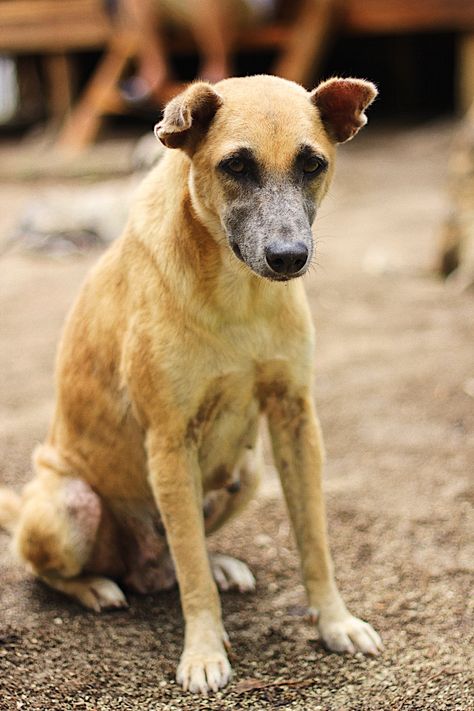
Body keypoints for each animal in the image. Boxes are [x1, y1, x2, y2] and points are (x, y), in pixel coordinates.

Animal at [0, 75, 382, 692]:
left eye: (312, 164)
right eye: (236, 165)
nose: (289, 257)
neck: (238, 295)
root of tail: (142, 569)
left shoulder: (296, 420)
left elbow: (314, 542)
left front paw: (335, 622)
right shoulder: (169, 440)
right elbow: (192, 574)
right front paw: (203, 651)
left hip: (249, 471)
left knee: (193, 548)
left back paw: (219, 565)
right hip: (70, 506)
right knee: (56, 569)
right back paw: (97, 587)